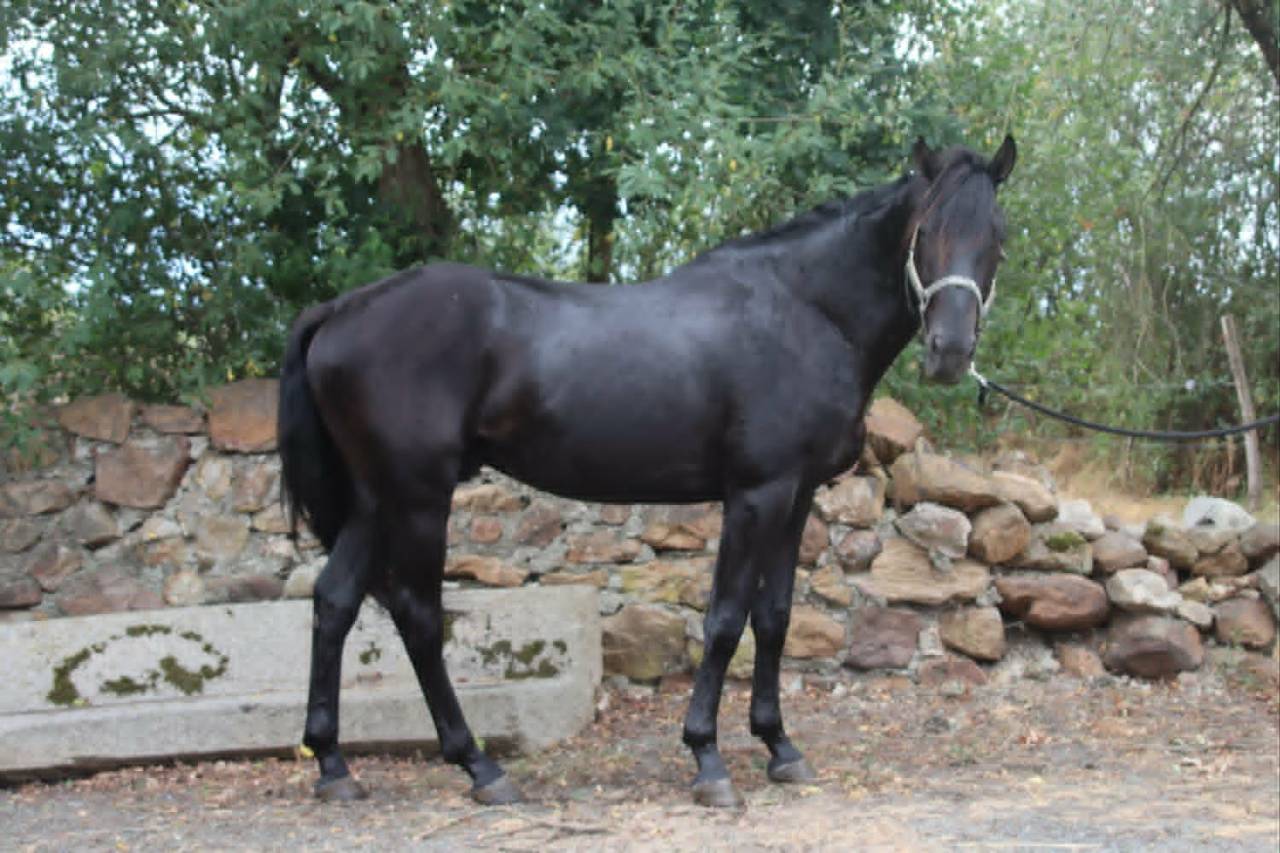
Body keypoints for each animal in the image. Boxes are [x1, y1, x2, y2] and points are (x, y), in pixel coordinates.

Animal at [278, 135, 1017, 808]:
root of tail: (337, 310)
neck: (804, 312)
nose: (950, 351)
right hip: (418, 497)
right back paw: (479, 766)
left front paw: (779, 747)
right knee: (419, 614)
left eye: (996, 236)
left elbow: (774, 616)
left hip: (375, 499)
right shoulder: (756, 493)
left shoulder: (797, 495)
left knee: (335, 601)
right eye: (928, 230)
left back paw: (335, 766)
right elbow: (726, 619)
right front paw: (708, 758)